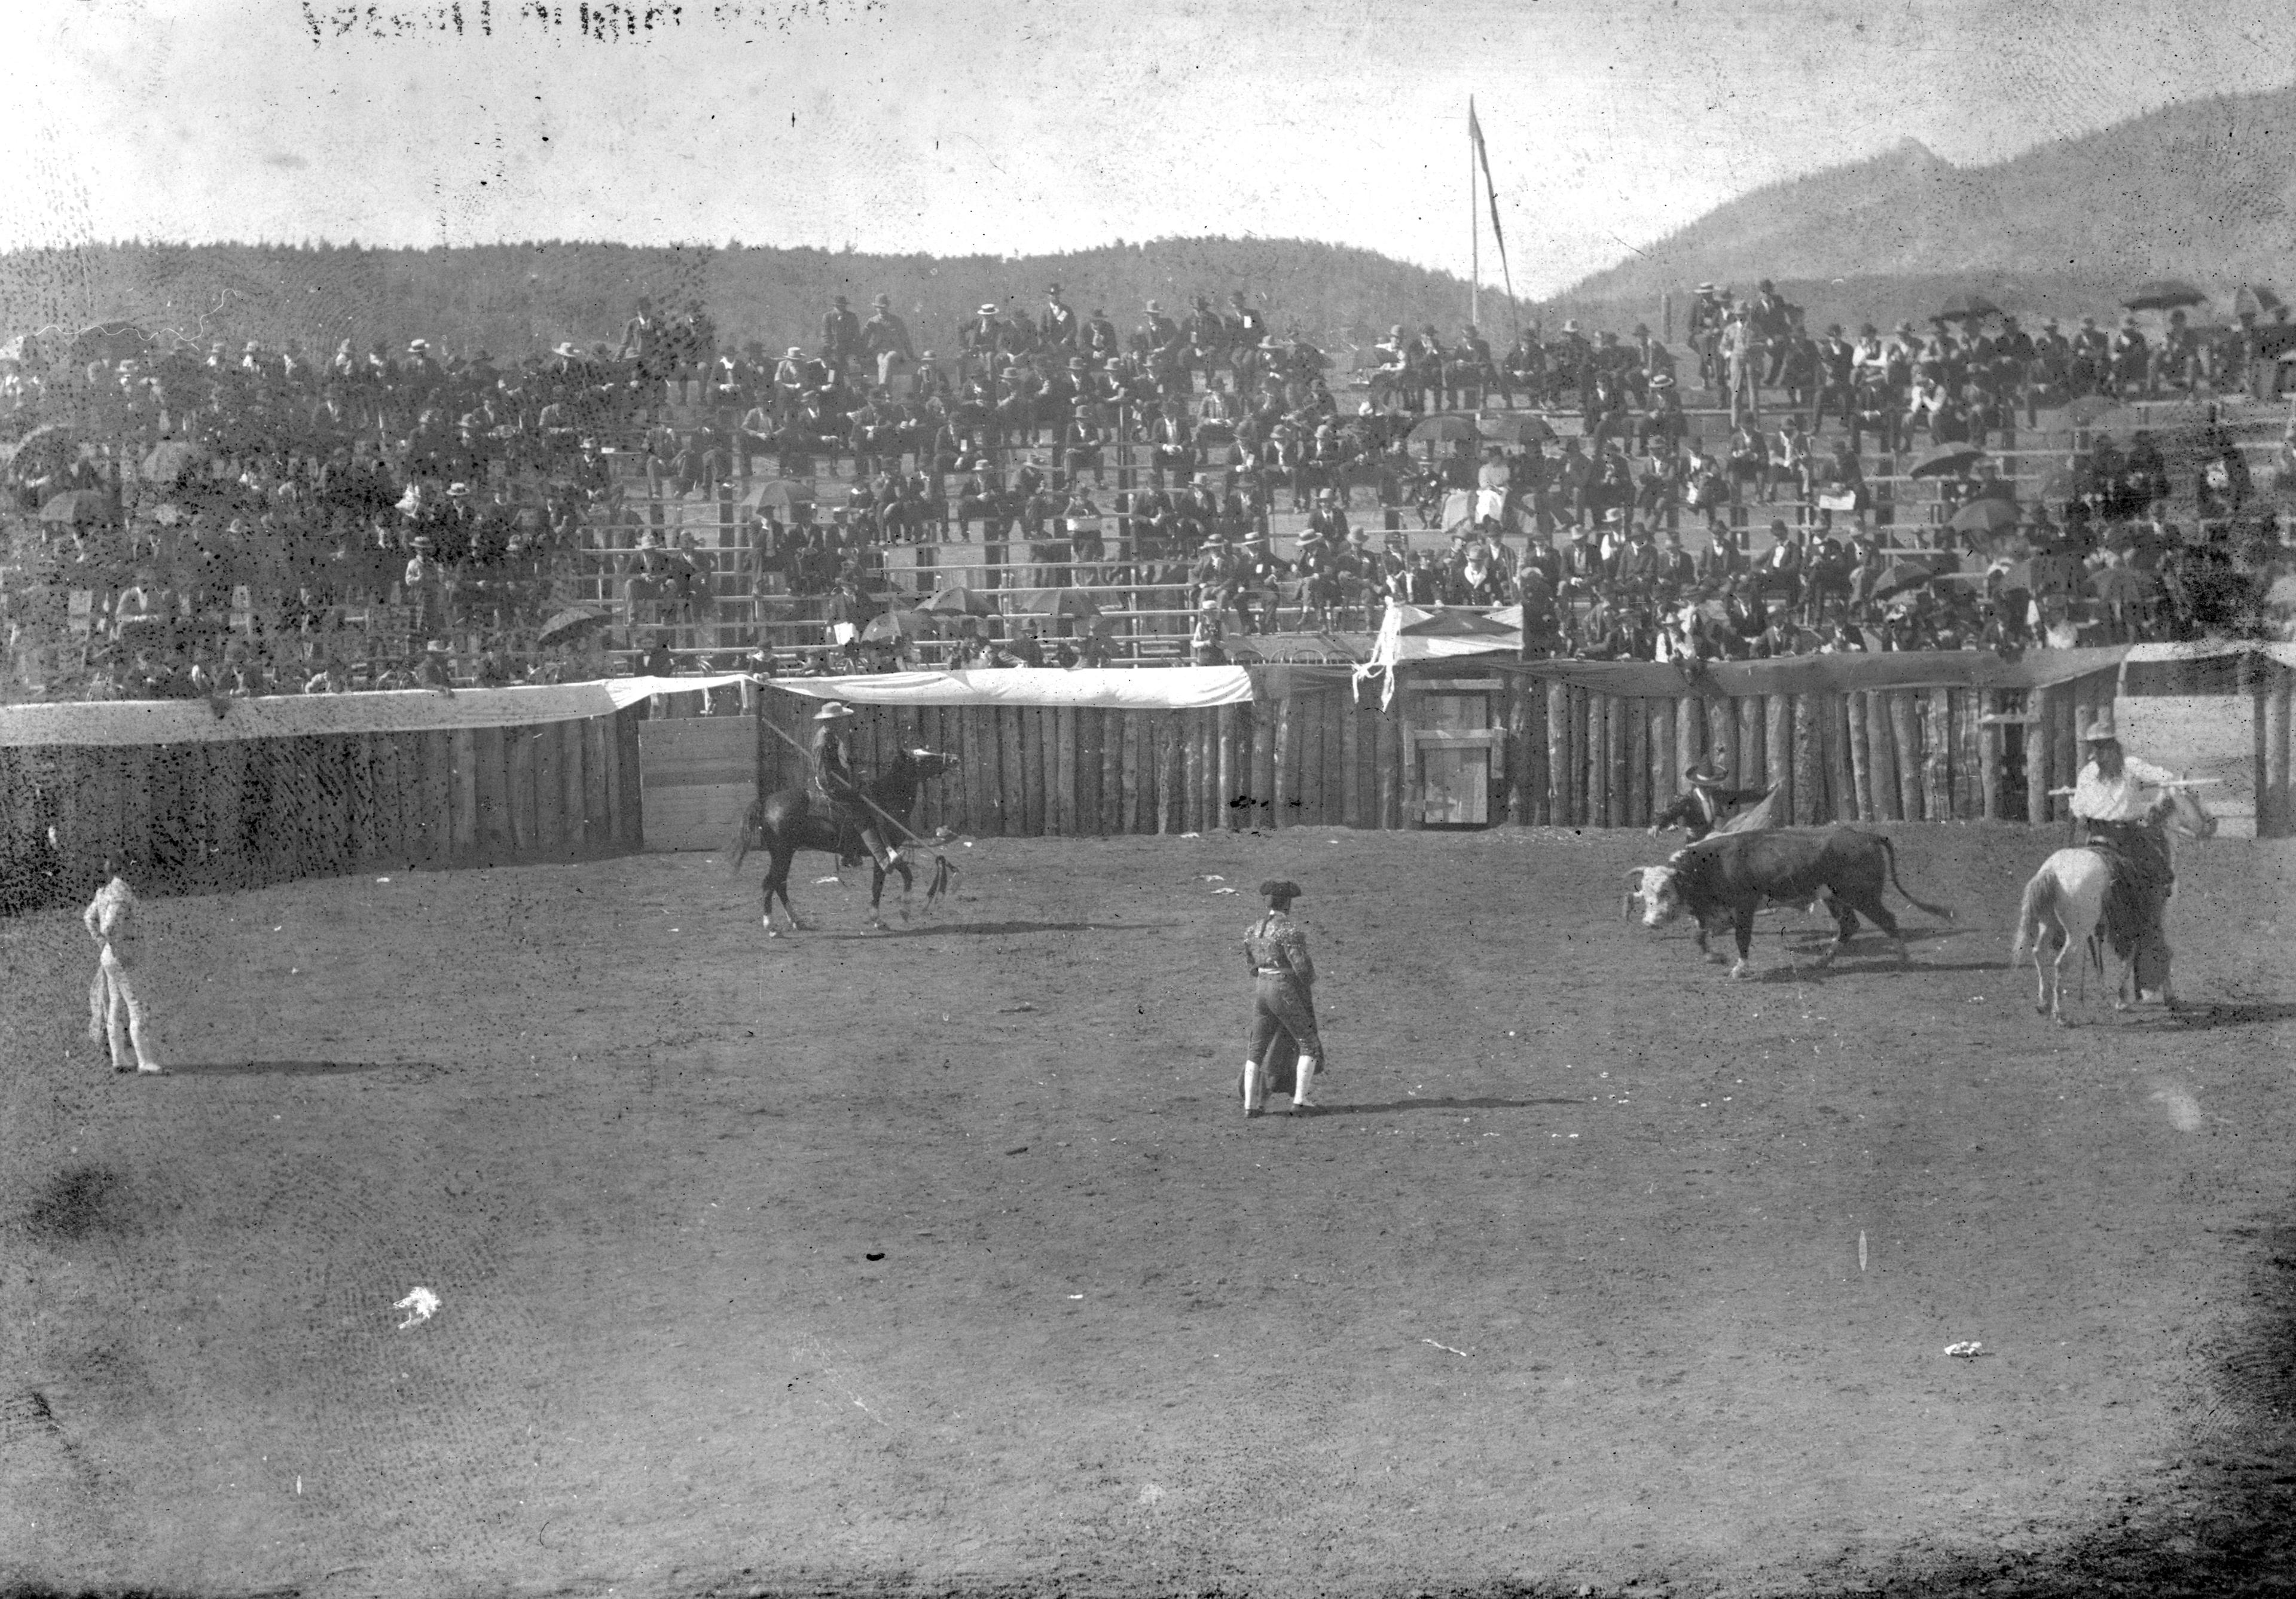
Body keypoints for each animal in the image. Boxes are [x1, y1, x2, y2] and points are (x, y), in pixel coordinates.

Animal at [1635, 830, 1956, 977]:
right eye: (1645, 891)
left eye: (1665, 890)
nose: (1649, 922)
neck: (1712, 865)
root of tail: (1864, 835)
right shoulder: (1716, 914)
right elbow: (1700, 936)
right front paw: (1716, 958)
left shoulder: (1744, 907)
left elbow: (1742, 939)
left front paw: (1740, 968)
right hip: (1835, 898)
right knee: (1850, 926)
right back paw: (1823, 960)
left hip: (1862, 895)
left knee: (1887, 920)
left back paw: (1903, 958)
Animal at [2020, 784, 2213, 1023]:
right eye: (2194, 795)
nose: (2211, 823)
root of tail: (2052, 872)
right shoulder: (2152, 916)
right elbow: (2154, 950)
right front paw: (2165, 998)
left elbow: (2129, 953)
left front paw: (2123, 998)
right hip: (2076, 933)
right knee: (2061, 963)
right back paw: (2060, 1014)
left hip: (2049, 923)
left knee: (2038, 952)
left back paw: (2044, 1003)